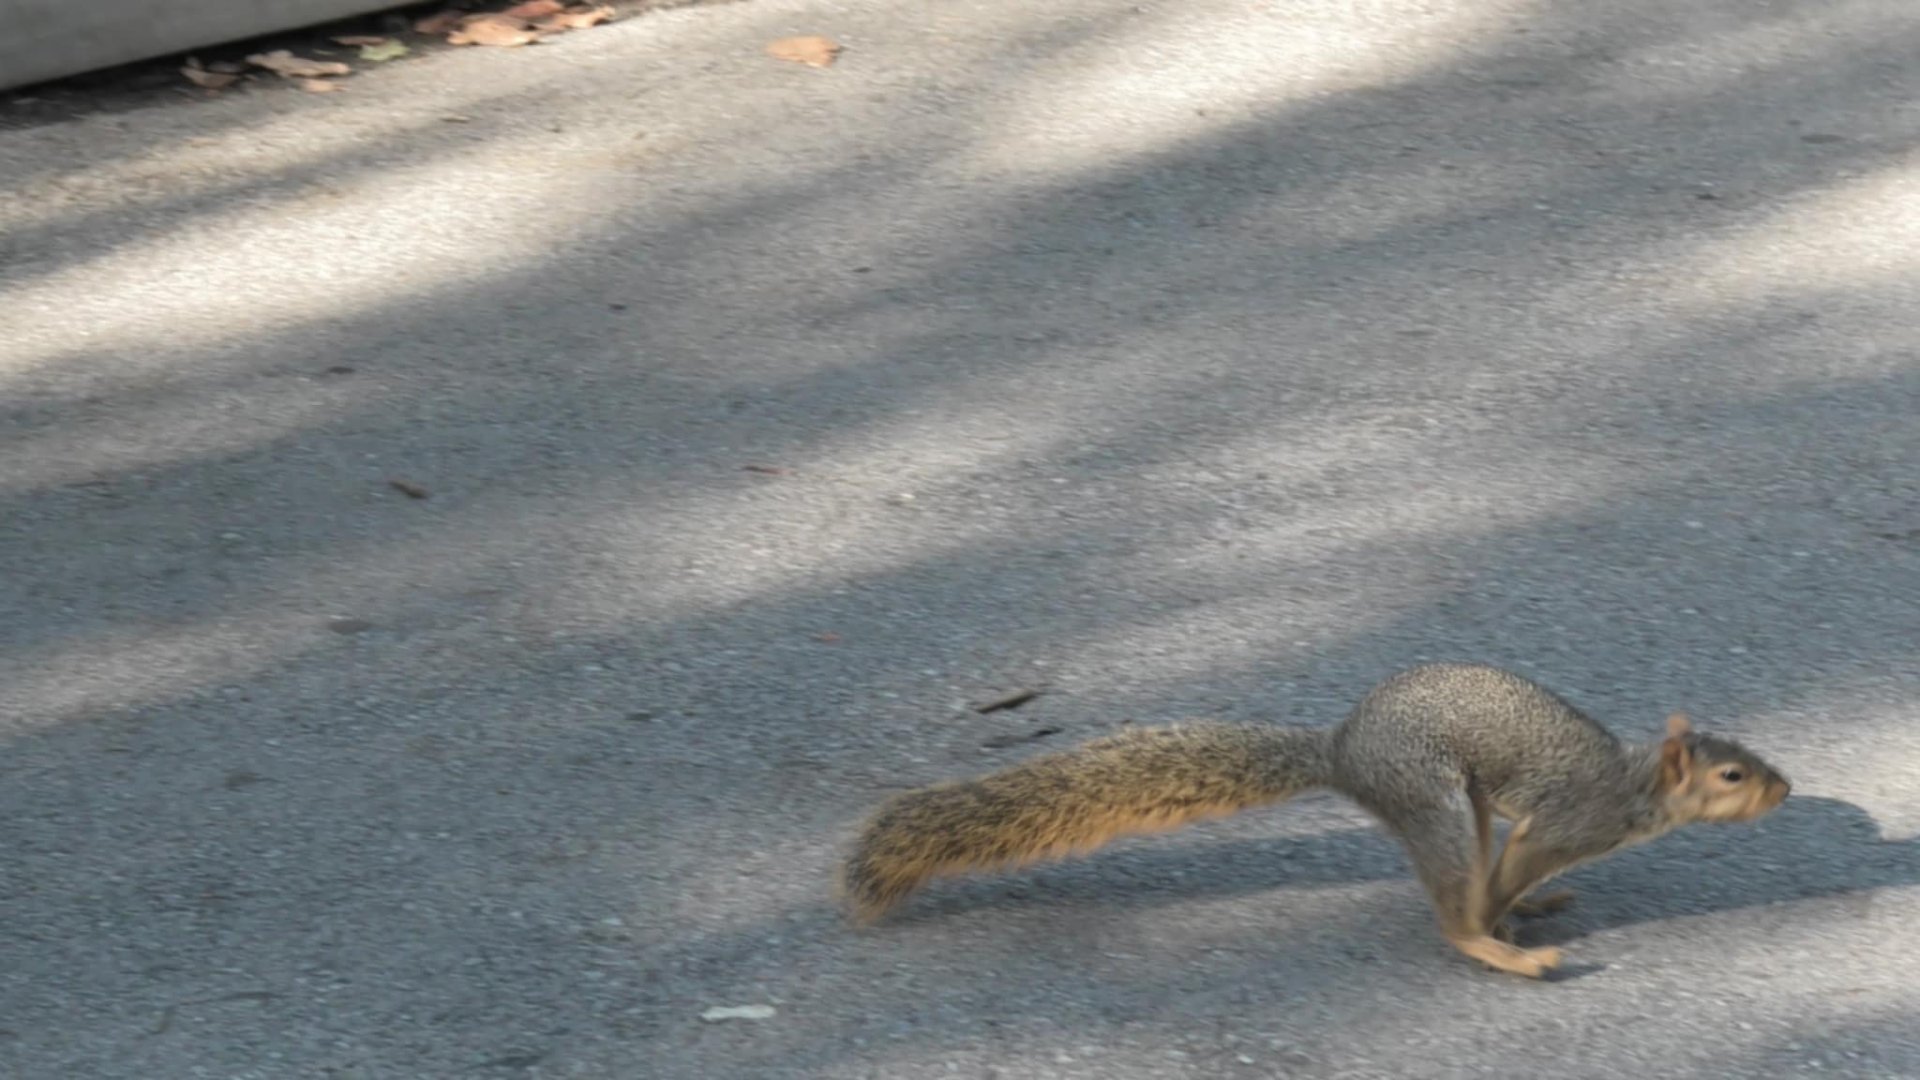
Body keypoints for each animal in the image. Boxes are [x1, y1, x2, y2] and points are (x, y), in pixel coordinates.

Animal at [840, 662, 1790, 978]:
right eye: (1733, 774)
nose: (1785, 790)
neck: (1638, 790)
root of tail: (1342, 749)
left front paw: (1522, 905)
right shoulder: (1568, 821)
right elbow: (1527, 857)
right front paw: (1502, 919)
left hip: (1464, 804)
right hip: (1433, 799)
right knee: (1455, 903)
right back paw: (1498, 946)